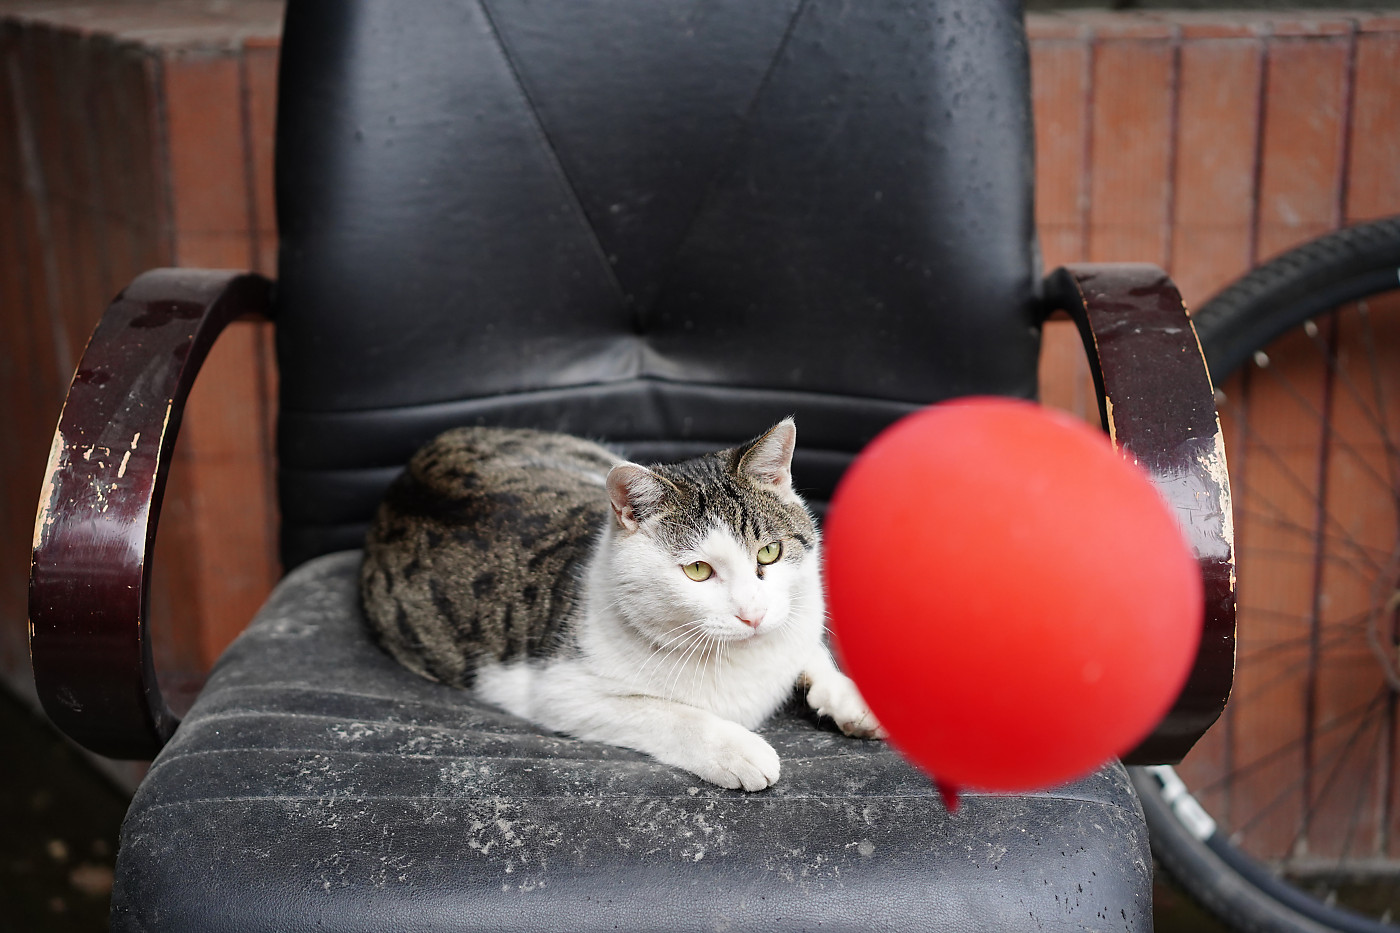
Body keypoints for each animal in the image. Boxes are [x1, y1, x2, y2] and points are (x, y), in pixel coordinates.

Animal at [364, 417, 884, 790]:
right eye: (698, 571)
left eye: (770, 553)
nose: (752, 615)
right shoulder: (554, 690)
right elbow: (667, 712)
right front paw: (738, 749)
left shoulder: (797, 619)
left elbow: (809, 648)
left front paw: (851, 698)